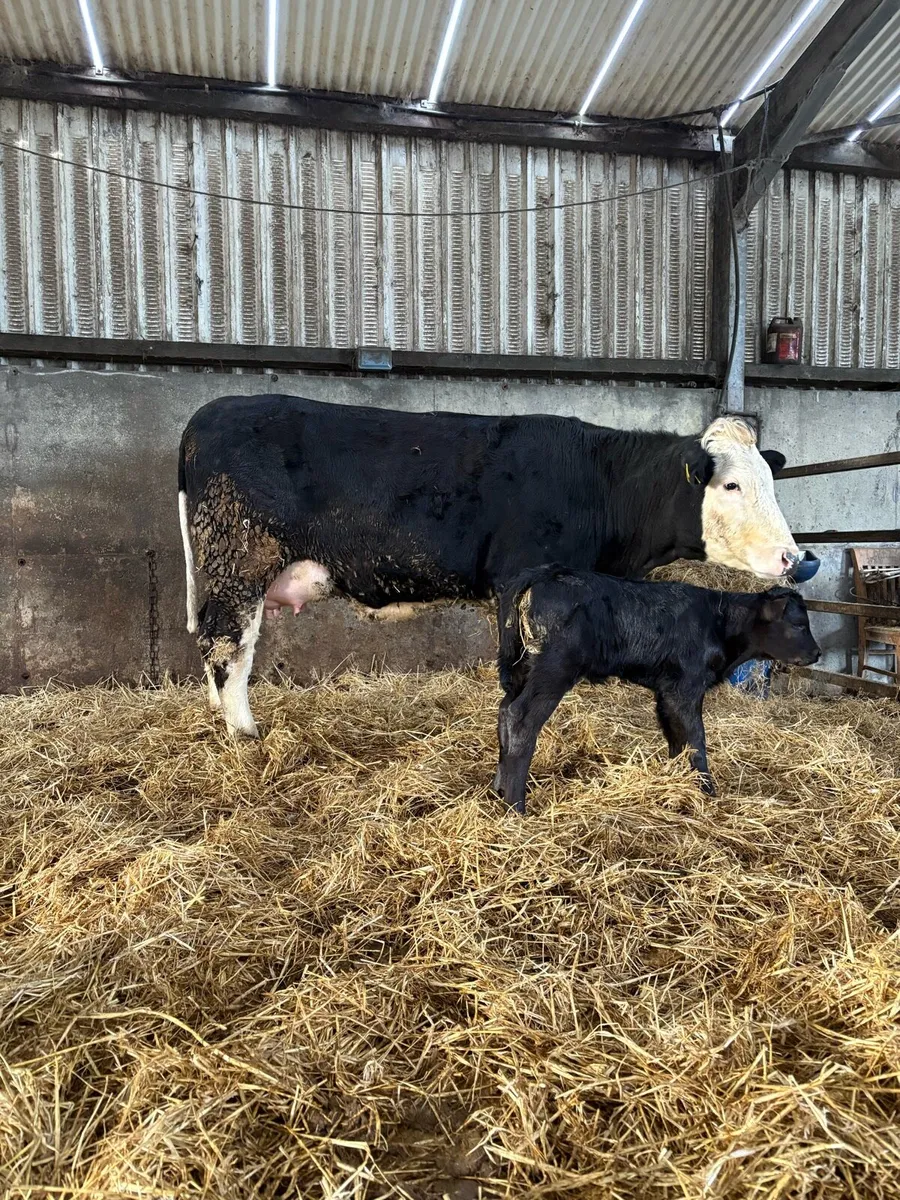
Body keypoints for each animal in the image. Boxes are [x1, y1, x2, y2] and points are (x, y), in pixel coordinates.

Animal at [177, 394, 802, 737]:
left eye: (770, 481)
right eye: (731, 485)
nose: (795, 557)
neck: (599, 481)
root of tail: (209, 413)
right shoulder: (524, 579)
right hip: (241, 559)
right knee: (227, 643)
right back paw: (244, 732)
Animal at [494, 565, 820, 813]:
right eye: (798, 624)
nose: (817, 653)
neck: (718, 622)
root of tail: (545, 572)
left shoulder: (666, 692)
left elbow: (675, 739)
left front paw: (675, 780)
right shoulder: (686, 689)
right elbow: (696, 739)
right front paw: (707, 789)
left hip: (521, 669)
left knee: (504, 711)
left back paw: (499, 789)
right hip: (554, 669)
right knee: (520, 718)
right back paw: (516, 806)